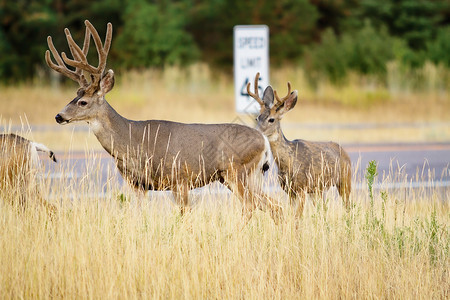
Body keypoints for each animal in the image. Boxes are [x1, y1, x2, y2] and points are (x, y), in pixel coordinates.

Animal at [48, 19, 282, 224]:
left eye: (83, 102)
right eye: (74, 97)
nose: (59, 116)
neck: (133, 141)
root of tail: (263, 141)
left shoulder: (180, 179)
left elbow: (184, 216)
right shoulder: (138, 185)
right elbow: (138, 216)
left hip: (237, 171)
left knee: (251, 205)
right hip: (243, 177)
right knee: (273, 205)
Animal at [246, 74, 352, 217]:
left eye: (271, 119)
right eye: (257, 118)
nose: (255, 132)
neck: (288, 162)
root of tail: (344, 152)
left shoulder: (302, 187)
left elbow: (298, 217)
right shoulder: (289, 190)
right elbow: (292, 214)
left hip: (345, 179)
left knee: (348, 205)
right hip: (317, 189)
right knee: (323, 209)